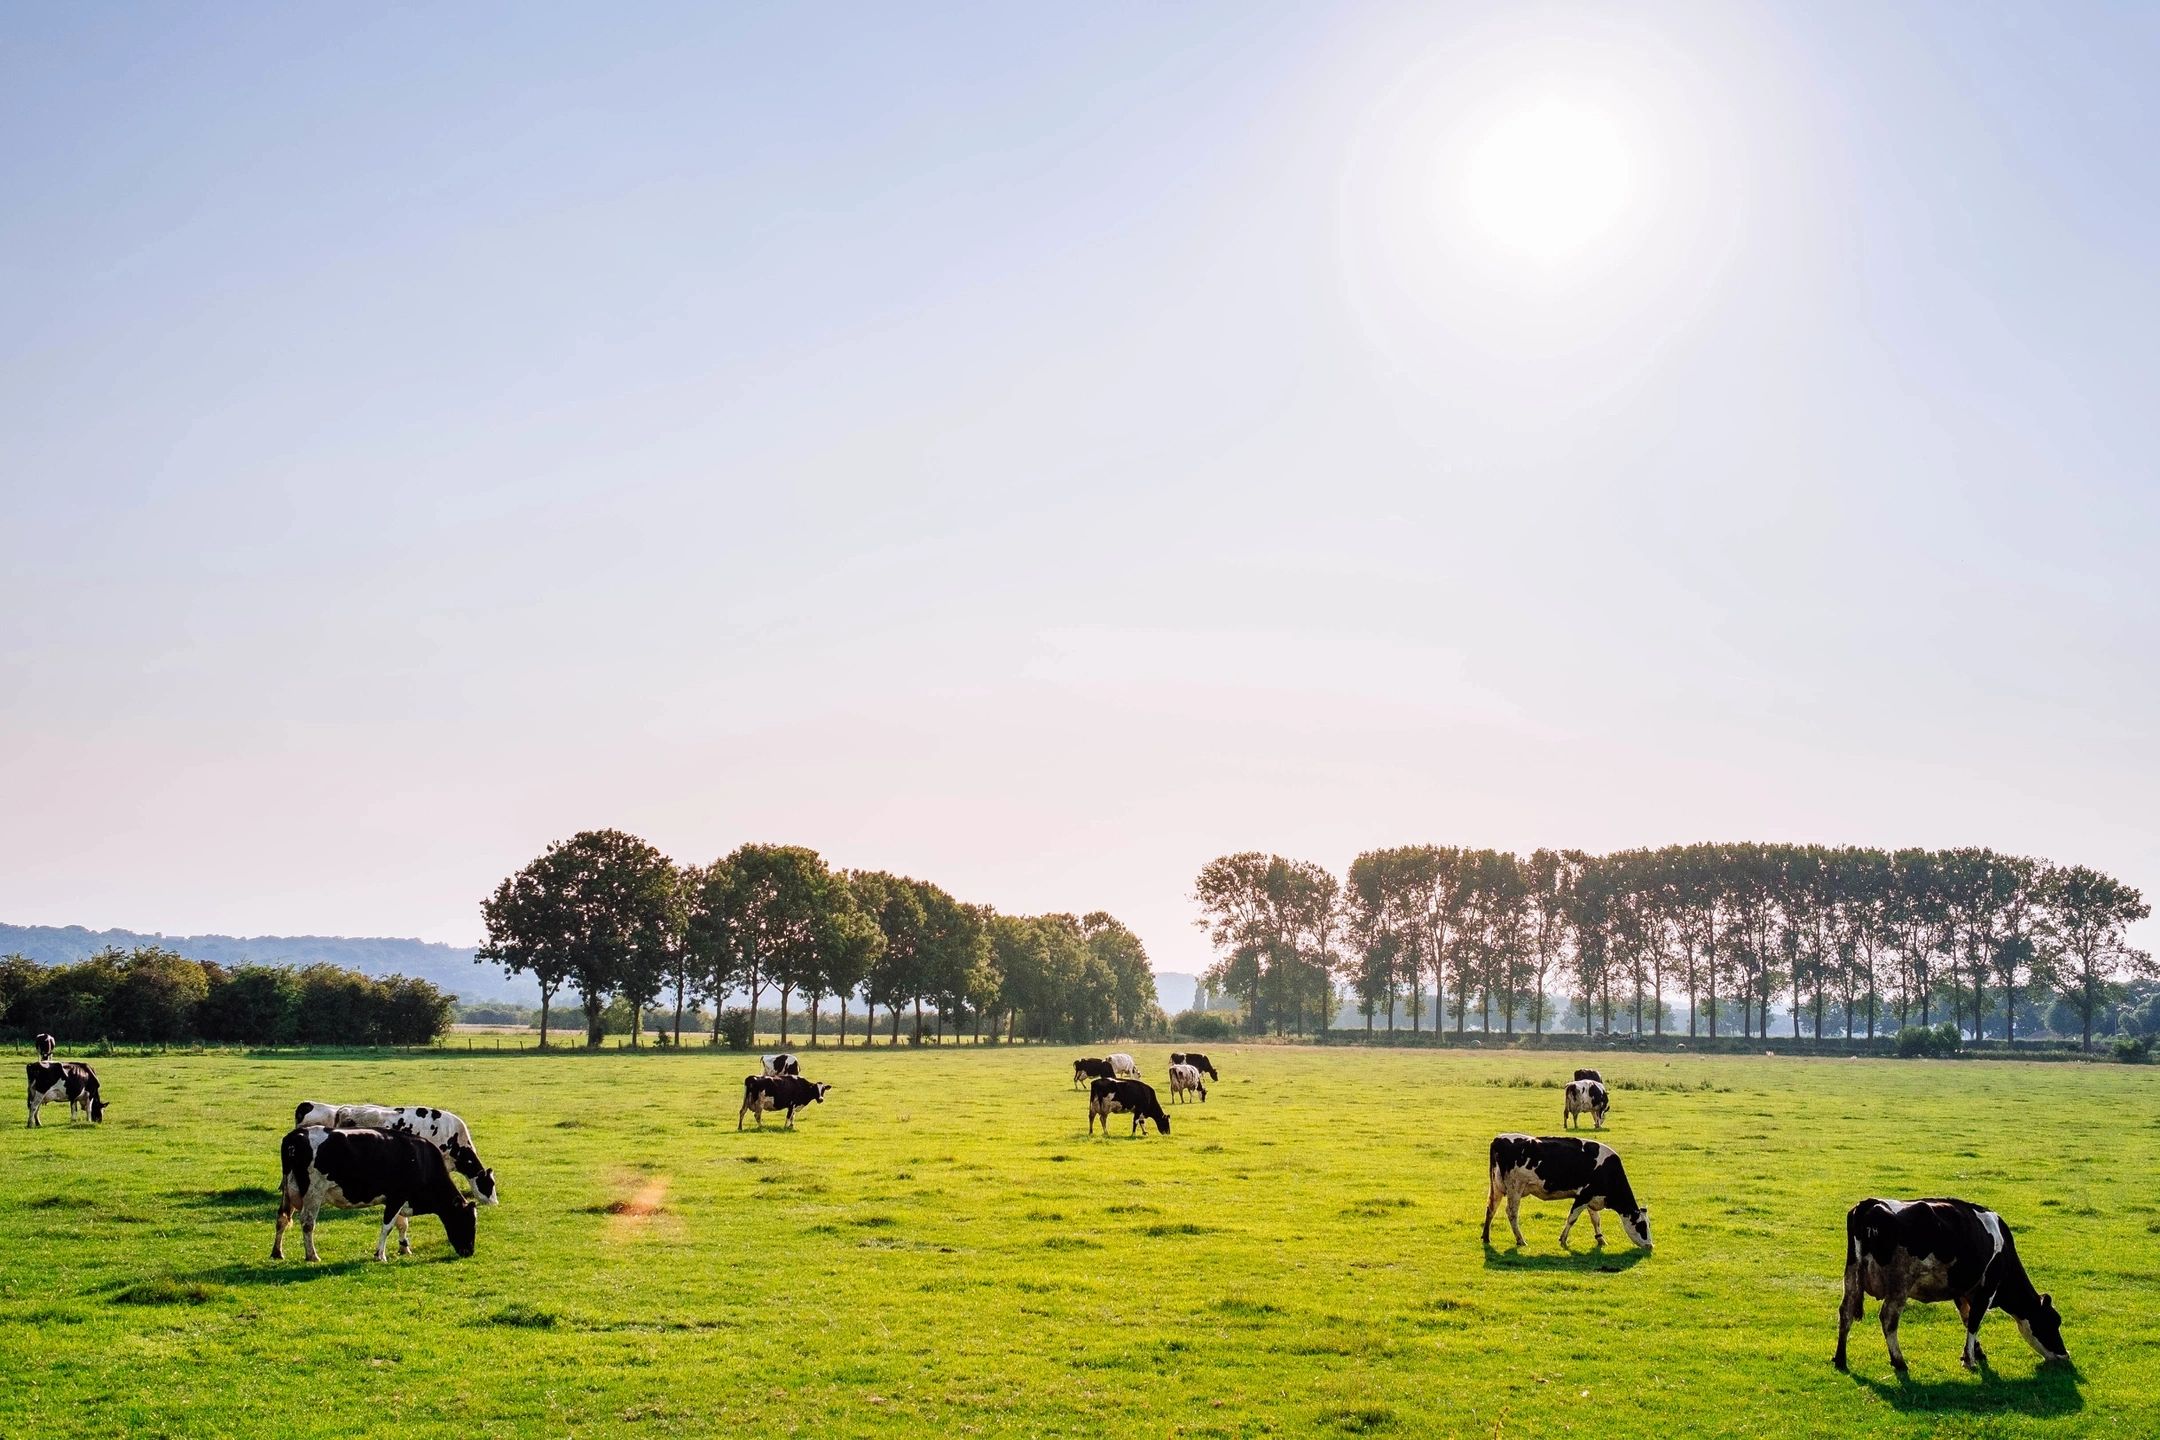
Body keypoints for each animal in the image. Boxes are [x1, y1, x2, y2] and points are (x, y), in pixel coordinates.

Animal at [272, 1122, 475, 1260]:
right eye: (467, 1221)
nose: (470, 1251)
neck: (421, 1160)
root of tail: (296, 1135)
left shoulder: (398, 1200)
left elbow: (402, 1224)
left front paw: (404, 1248)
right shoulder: (397, 1196)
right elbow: (388, 1226)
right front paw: (380, 1255)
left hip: (289, 1191)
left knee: (282, 1218)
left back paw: (277, 1252)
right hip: (313, 1192)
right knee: (307, 1222)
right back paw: (312, 1255)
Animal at [1486, 1139, 1650, 1252]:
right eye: (1642, 1225)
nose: (1650, 1245)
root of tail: (1499, 1139)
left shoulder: (1592, 1198)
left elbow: (1596, 1220)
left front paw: (1601, 1240)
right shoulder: (1583, 1196)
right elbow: (1572, 1218)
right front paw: (1563, 1240)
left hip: (1497, 1187)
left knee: (1491, 1209)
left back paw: (1486, 1238)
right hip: (1515, 1189)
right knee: (1512, 1213)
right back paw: (1520, 1240)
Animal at [1831, 1191, 2064, 1381]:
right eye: (2053, 1322)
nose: (2065, 1355)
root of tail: (1869, 1203)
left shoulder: (1961, 1290)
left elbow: (1967, 1318)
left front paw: (1976, 1352)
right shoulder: (1987, 1288)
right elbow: (1975, 1321)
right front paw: (1970, 1360)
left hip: (1851, 1275)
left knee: (1846, 1312)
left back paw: (1840, 1359)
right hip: (1899, 1283)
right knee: (1888, 1318)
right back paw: (1899, 1361)